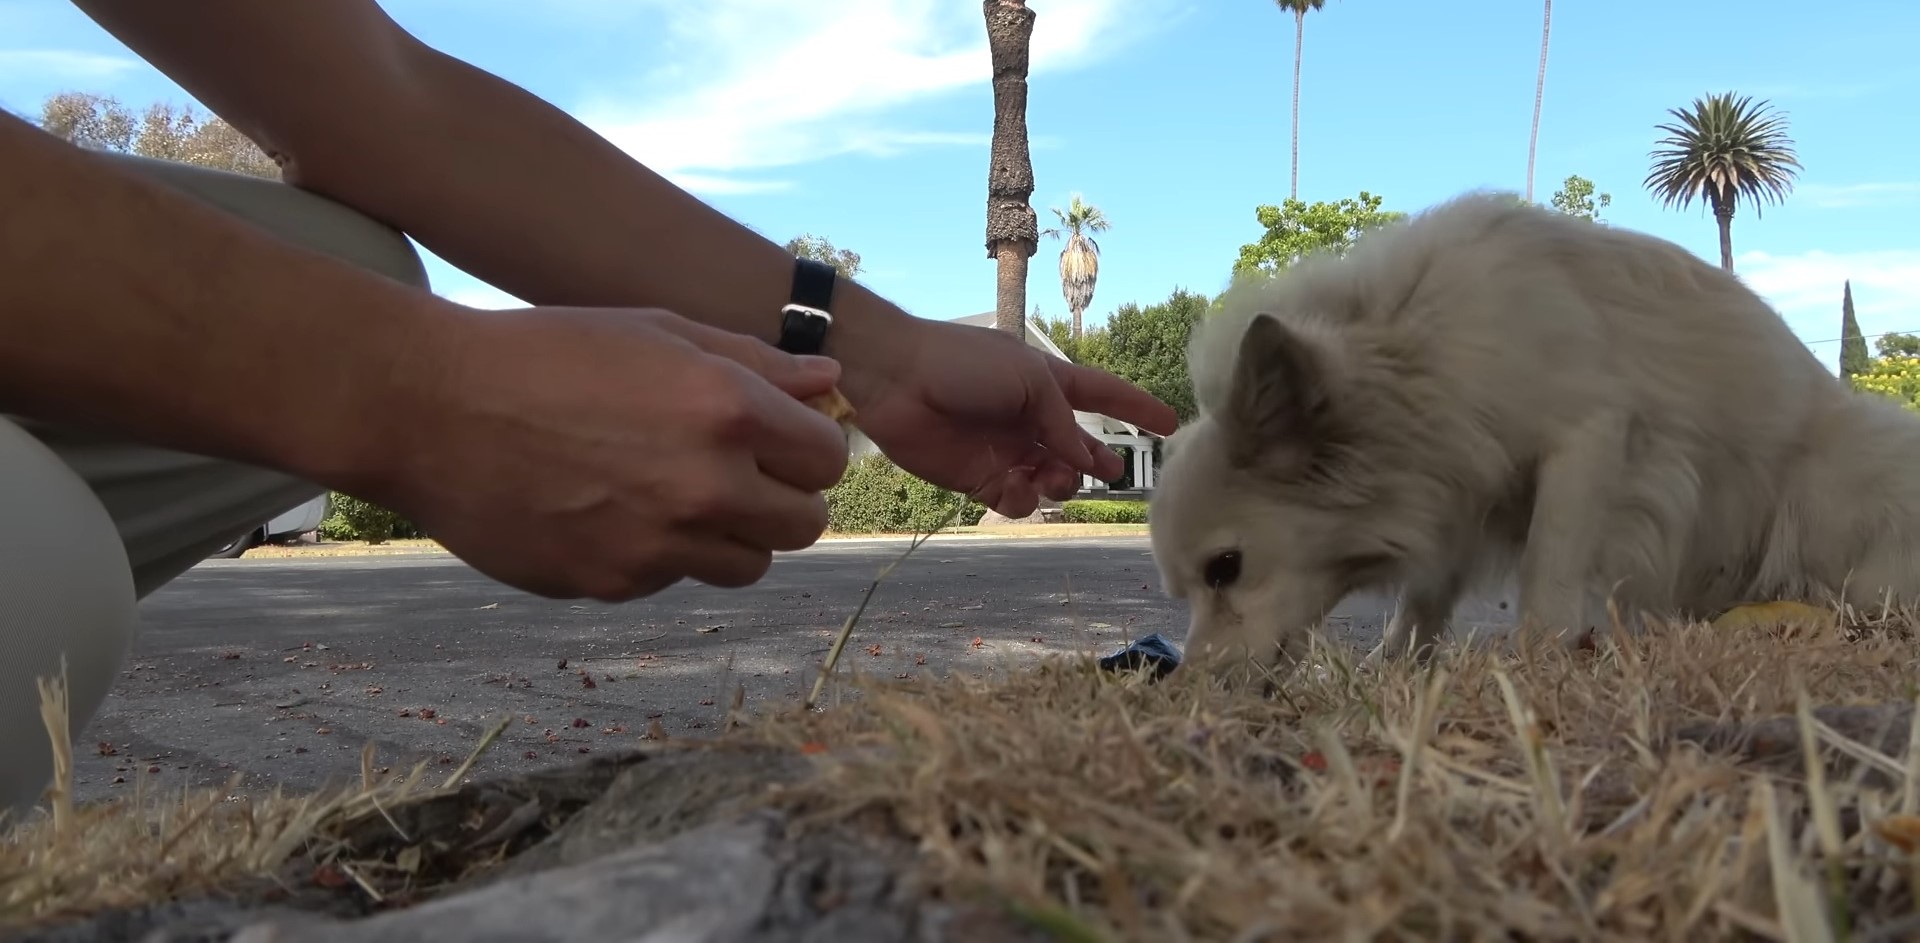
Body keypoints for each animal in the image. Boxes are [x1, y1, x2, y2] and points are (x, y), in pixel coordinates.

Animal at [1144, 193, 1920, 679]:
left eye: (1225, 568)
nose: (1192, 685)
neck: (1411, 353)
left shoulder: (1589, 442)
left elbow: (1549, 572)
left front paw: (1542, 667)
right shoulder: (1457, 489)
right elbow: (1423, 599)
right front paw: (1394, 667)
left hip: (1838, 484)